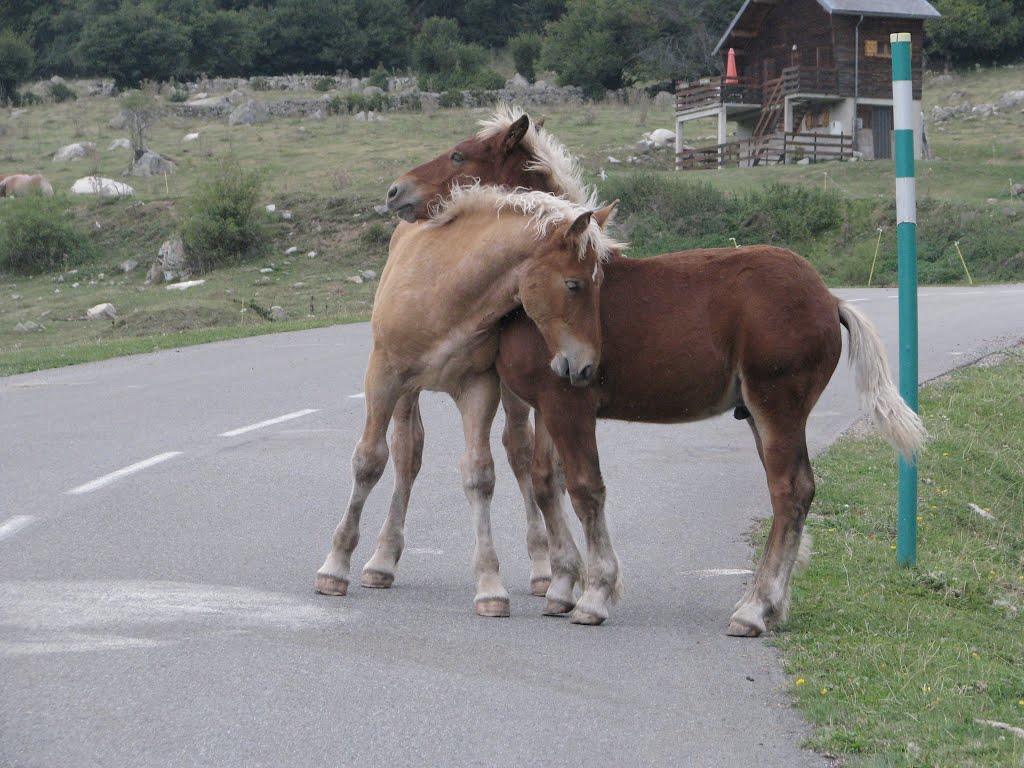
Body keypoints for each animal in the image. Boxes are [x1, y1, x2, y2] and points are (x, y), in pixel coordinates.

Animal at [495, 249, 929, 634]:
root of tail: (829, 299)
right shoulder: (547, 407)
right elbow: (544, 482)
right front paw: (560, 588)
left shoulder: (568, 405)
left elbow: (584, 490)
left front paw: (593, 597)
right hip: (757, 413)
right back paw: (770, 606)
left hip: (777, 405)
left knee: (791, 490)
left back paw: (754, 610)